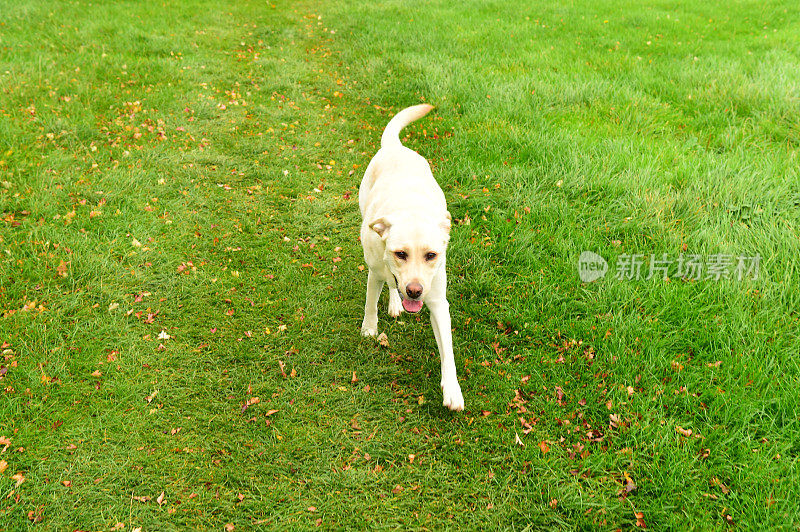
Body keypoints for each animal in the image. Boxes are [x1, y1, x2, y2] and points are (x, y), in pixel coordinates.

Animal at [360, 104, 466, 412]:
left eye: (431, 255)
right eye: (400, 253)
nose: (415, 291)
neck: (411, 208)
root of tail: (395, 147)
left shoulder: (438, 301)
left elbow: (448, 351)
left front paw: (452, 390)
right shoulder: (376, 270)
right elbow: (371, 303)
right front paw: (369, 329)